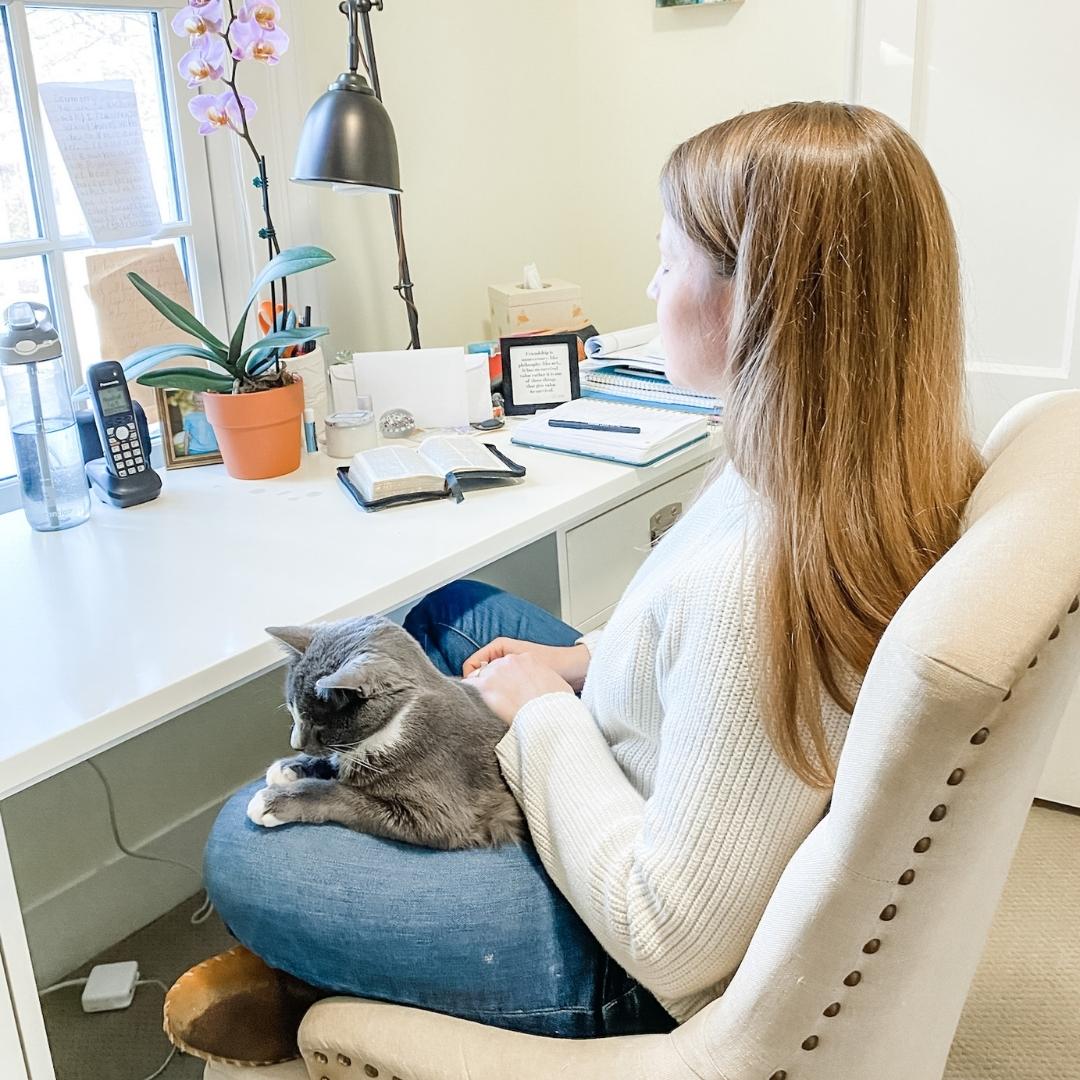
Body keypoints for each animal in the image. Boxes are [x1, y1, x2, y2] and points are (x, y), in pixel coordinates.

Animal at [248, 617, 527, 851]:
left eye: (318, 723)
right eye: (292, 711)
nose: (295, 745)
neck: (393, 727)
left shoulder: (437, 815)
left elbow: (343, 794)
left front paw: (273, 801)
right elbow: (332, 760)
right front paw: (289, 767)